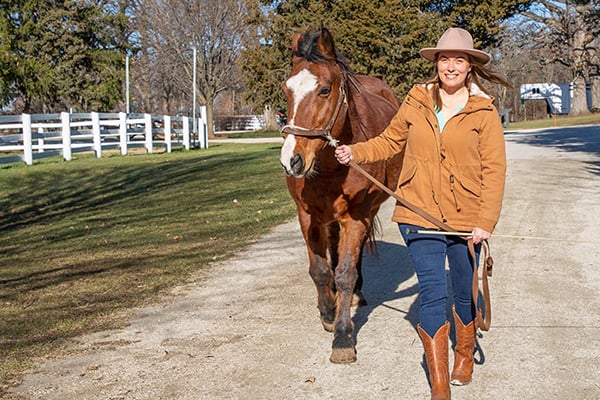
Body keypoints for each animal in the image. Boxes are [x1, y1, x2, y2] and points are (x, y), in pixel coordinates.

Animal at [280, 25, 404, 362]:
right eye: (286, 90)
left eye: (324, 90)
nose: (291, 160)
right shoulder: (307, 215)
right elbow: (321, 269)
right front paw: (327, 312)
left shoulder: (357, 216)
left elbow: (345, 272)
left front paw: (343, 336)